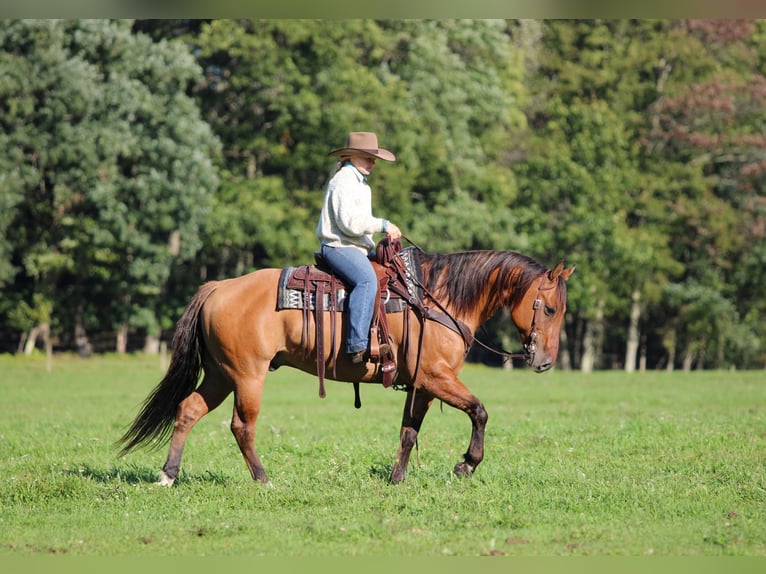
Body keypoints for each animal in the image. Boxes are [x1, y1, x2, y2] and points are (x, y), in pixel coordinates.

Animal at [117, 244, 574, 484]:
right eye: (550, 308)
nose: (545, 362)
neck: (437, 299)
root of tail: (218, 287)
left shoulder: (422, 385)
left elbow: (409, 431)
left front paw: (396, 479)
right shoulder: (436, 376)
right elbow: (479, 411)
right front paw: (467, 464)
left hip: (219, 375)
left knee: (188, 409)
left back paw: (168, 474)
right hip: (247, 376)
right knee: (241, 426)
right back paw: (263, 479)